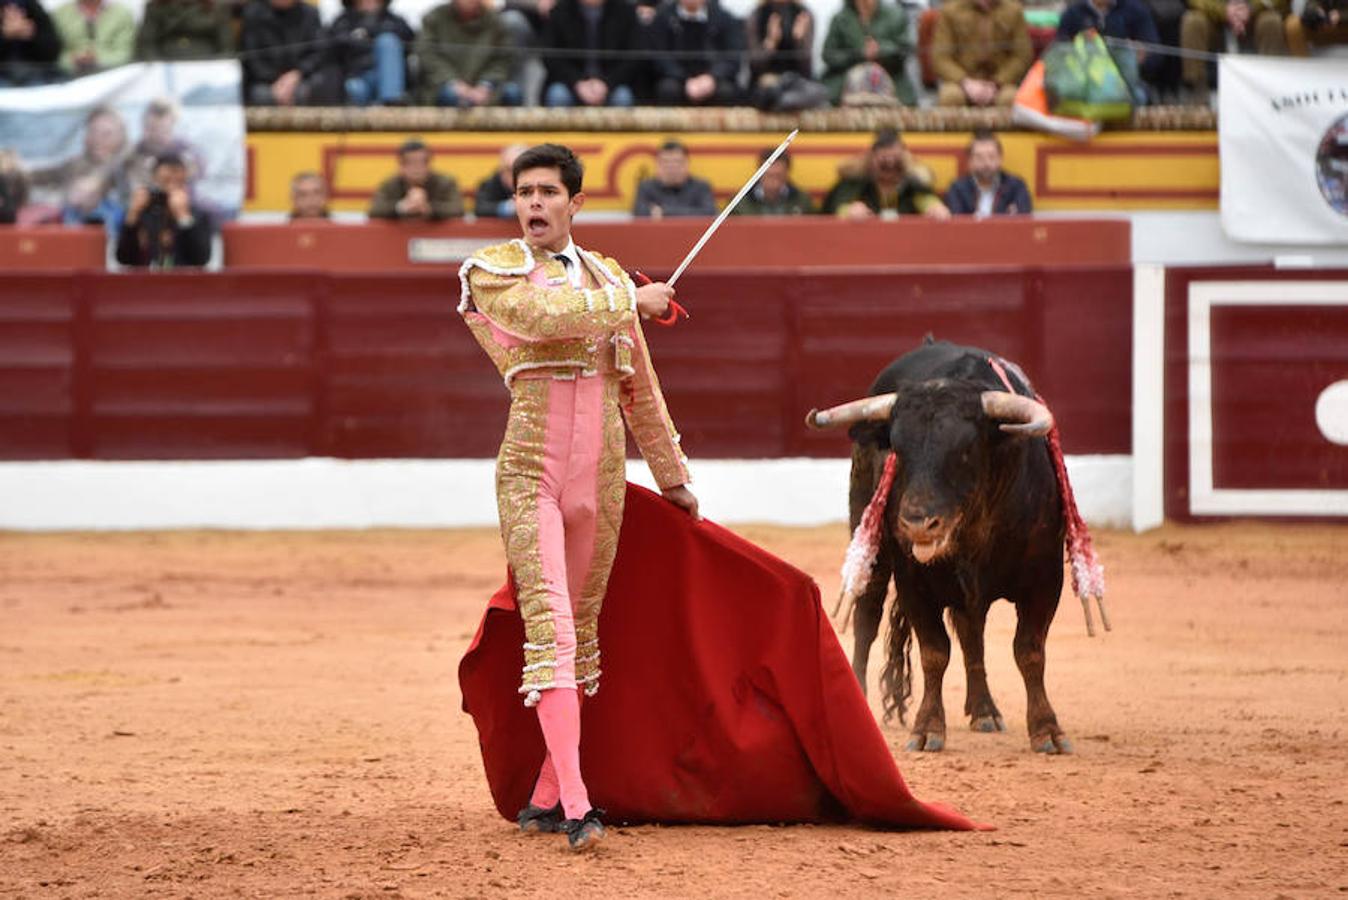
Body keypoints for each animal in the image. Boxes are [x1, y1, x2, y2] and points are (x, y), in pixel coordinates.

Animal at [803, 336, 1099, 754]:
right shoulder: (914, 583)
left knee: (971, 631)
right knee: (867, 617)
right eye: (897, 448)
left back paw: (984, 710)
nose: (916, 523)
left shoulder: (1045, 578)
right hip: (869, 540)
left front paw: (1047, 731)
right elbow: (934, 652)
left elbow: (1029, 650)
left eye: (965, 449)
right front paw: (928, 728)